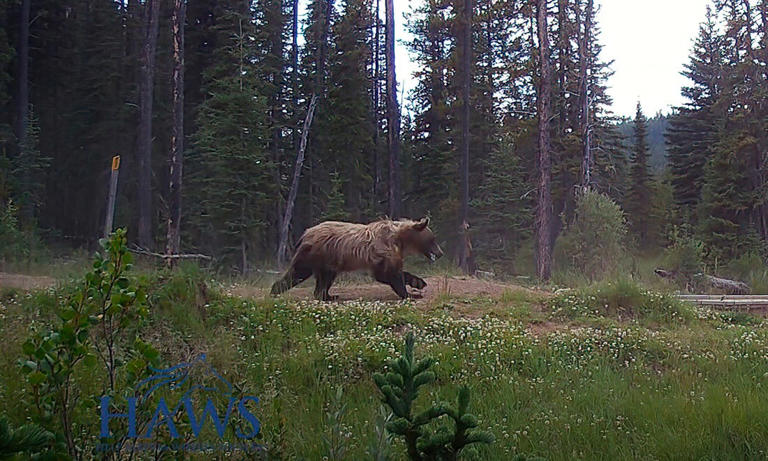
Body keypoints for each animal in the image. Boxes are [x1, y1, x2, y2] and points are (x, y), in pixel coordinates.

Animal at [270, 217, 444, 300]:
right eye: (432, 239)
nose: (440, 253)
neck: (400, 240)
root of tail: (306, 233)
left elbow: (391, 273)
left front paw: (419, 283)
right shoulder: (383, 252)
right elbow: (389, 275)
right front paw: (411, 293)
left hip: (329, 261)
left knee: (325, 278)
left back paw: (329, 296)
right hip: (315, 254)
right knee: (298, 272)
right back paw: (275, 290)